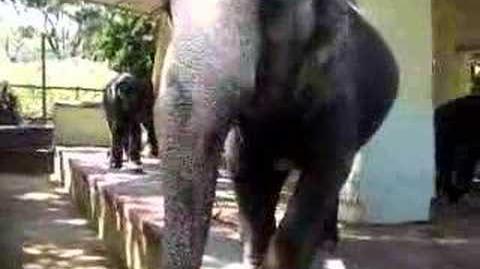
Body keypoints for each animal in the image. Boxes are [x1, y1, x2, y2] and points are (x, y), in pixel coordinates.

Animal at [154, 0, 398, 268]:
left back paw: (328, 242)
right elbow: (243, 168)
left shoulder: (338, 97)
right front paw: (256, 260)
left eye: (271, 6)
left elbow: (328, 170)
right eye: (168, 10)